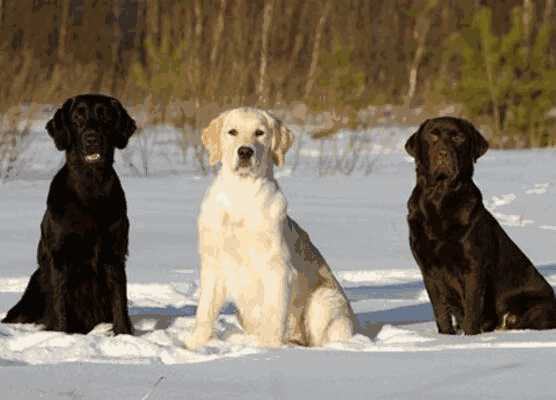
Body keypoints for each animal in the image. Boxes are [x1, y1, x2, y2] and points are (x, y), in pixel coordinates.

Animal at [1, 94, 136, 334]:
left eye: (105, 116)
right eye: (77, 118)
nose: (91, 138)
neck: (90, 188)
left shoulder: (115, 253)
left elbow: (119, 300)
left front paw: (124, 335)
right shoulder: (60, 256)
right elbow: (59, 303)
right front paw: (62, 334)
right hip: (35, 284)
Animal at [188, 108, 356, 348]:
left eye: (260, 133)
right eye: (232, 131)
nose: (245, 151)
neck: (241, 194)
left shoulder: (278, 268)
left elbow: (274, 314)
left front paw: (269, 349)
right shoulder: (214, 264)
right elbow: (205, 311)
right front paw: (195, 345)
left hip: (324, 299)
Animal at [404, 116, 556, 334]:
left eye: (458, 137)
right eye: (432, 136)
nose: (443, 153)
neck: (440, 198)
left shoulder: (473, 266)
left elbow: (472, 310)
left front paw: (471, 337)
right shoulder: (428, 269)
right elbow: (440, 312)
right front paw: (445, 337)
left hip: (536, 309)